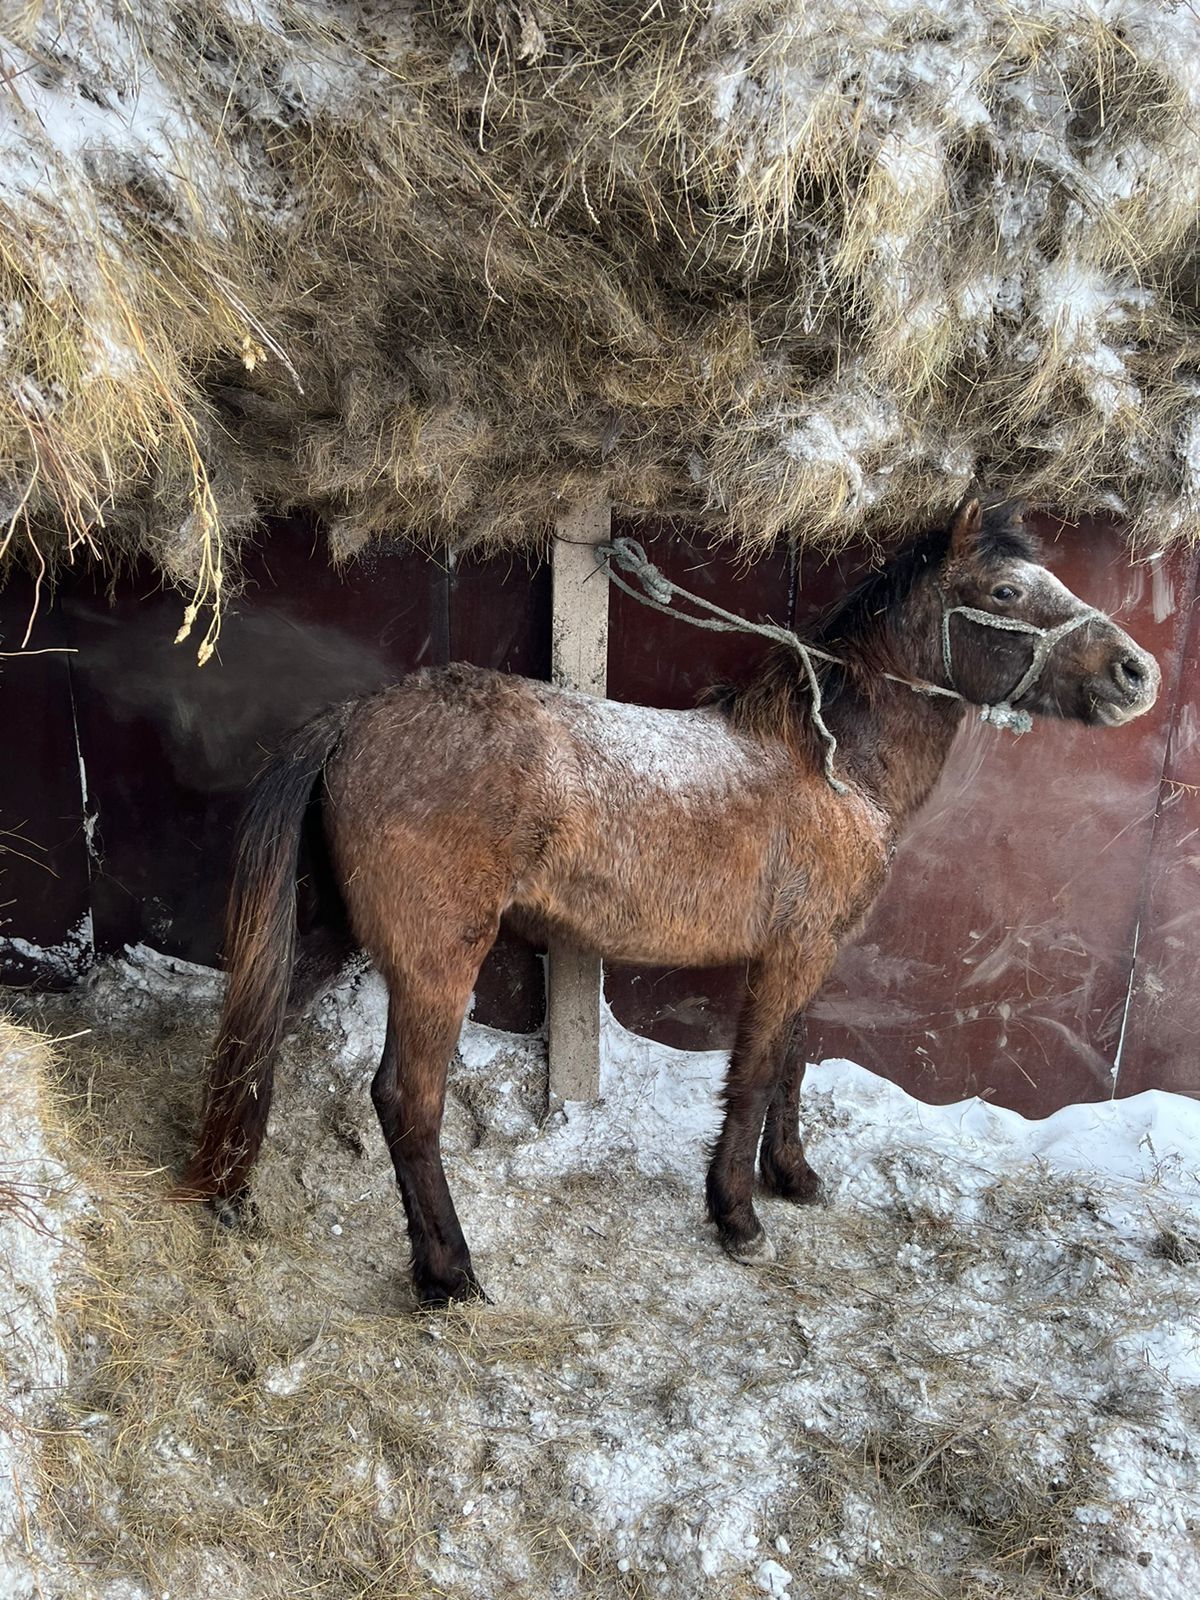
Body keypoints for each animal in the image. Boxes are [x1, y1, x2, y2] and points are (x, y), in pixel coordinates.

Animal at [180, 499, 1164, 1299]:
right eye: (1005, 589)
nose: (1137, 674)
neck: (832, 765)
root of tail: (359, 719)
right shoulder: (793, 956)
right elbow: (756, 1072)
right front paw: (737, 1215)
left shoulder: (809, 953)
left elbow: (794, 1062)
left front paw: (794, 1178)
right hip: (435, 964)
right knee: (405, 1101)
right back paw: (448, 1273)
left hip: (332, 932)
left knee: (261, 1031)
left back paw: (233, 1191)